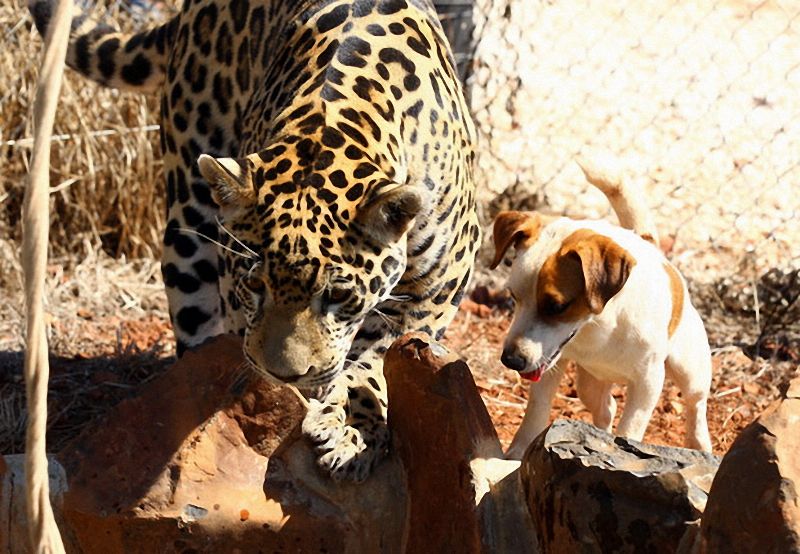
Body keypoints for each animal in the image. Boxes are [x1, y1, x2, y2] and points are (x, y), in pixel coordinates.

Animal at [494, 163, 712, 458]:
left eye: (557, 306)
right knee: (607, 408)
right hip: (588, 384)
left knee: (695, 404)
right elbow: (535, 412)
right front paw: (517, 454)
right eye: (513, 296)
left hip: (690, 371)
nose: (511, 361)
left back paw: (700, 444)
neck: (601, 325)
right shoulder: (549, 366)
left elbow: (631, 427)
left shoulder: (648, 382)